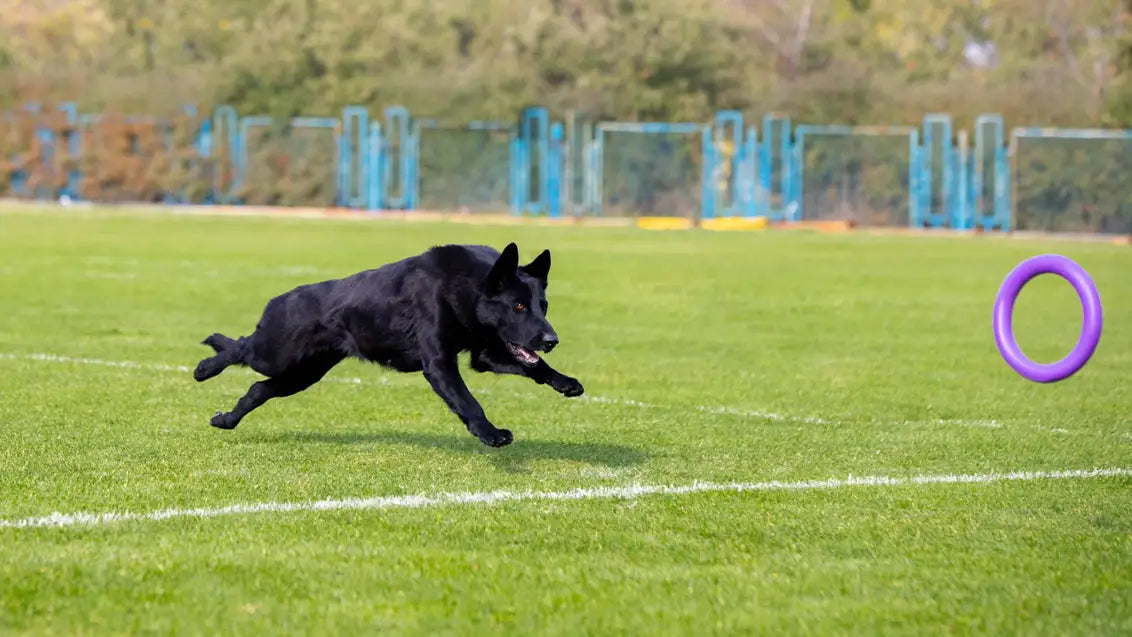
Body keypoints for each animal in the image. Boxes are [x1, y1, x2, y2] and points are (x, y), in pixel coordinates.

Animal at [192, 242, 584, 445]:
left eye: (543, 306)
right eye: (518, 306)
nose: (551, 339)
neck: (466, 288)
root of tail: (282, 298)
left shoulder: (485, 354)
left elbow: (536, 367)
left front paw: (565, 382)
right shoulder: (440, 364)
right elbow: (469, 402)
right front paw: (490, 434)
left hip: (302, 375)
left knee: (258, 389)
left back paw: (225, 420)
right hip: (275, 355)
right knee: (241, 346)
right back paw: (205, 366)